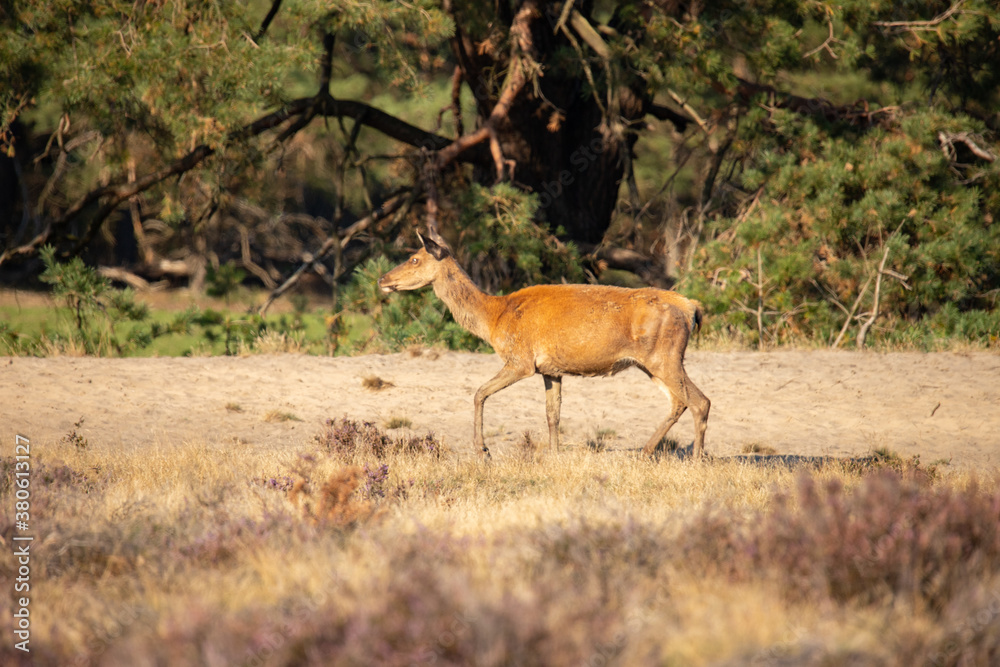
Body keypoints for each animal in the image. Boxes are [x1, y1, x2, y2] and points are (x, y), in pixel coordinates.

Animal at [378, 232, 710, 459]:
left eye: (415, 259)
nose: (382, 279)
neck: (494, 318)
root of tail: (692, 308)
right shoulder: (551, 369)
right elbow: (553, 414)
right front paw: (554, 454)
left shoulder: (520, 360)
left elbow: (479, 393)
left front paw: (482, 450)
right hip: (650, 362)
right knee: (679, 401)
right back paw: (646, 451)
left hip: (664, 355)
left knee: (699, 401)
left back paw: (696, 459)